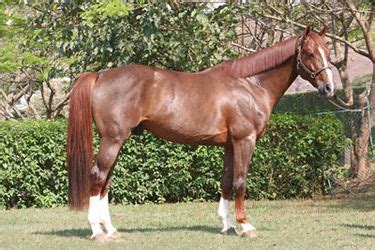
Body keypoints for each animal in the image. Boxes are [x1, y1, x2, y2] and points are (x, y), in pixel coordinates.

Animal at [67, 25, 334, 240]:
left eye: (328, 51)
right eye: (310, 53)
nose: (329, 87)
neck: (250, 84)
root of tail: (101, 75)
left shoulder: (230, 144)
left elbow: (226, 182)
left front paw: (228, 226)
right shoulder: (244, 140)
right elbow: (240, 182)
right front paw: (246, 227)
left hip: (118, 141)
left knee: (106, 183)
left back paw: (110, 229)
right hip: (112, 141)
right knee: (97, 177)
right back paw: (96, 231)